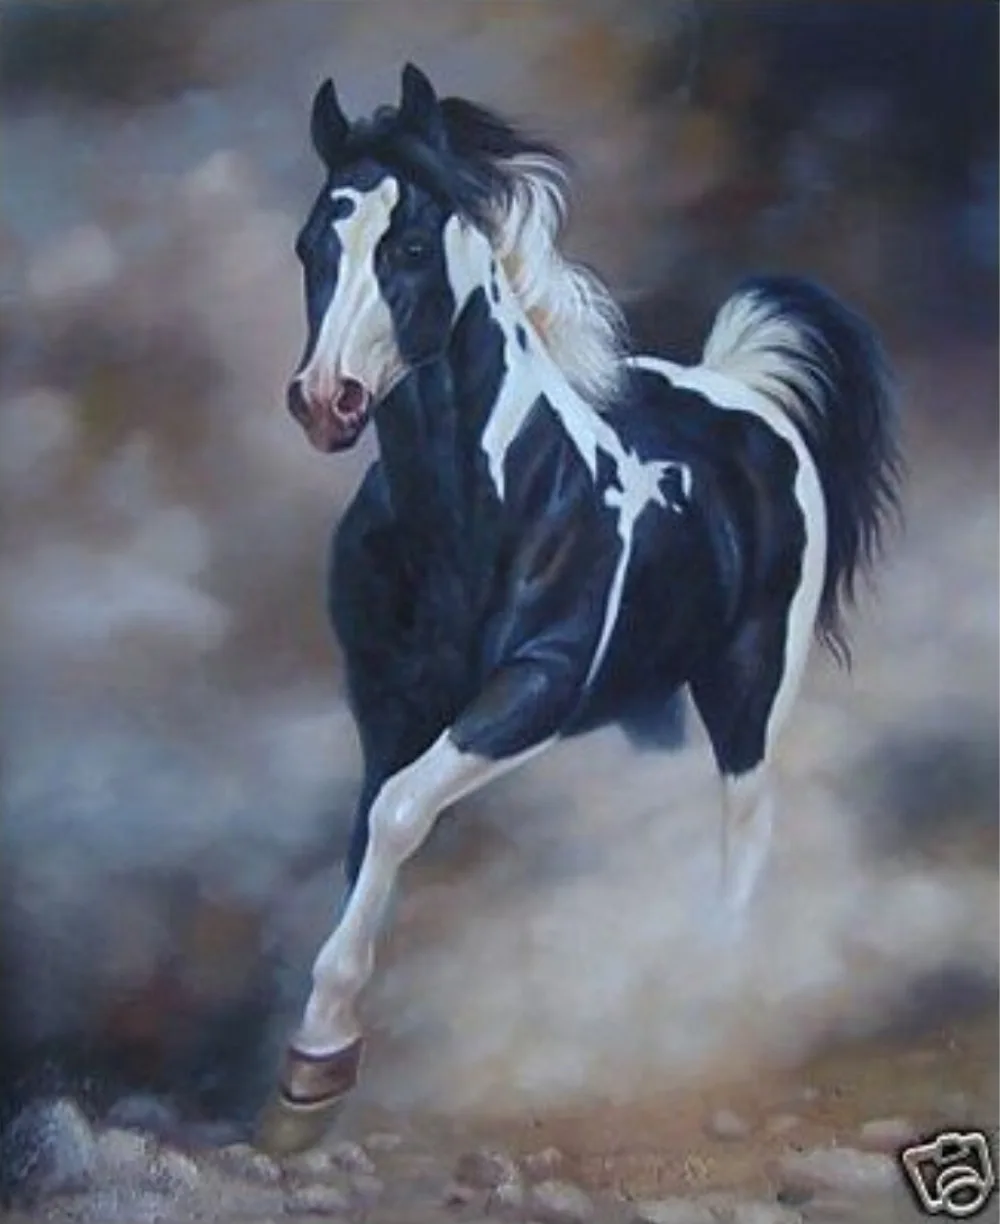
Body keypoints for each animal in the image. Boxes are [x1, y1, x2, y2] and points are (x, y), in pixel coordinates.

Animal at [256, 63, 901, 1153]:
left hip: (749, 687)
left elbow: (398, 813)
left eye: (410, 246)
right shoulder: (386, 705)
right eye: (312, 245)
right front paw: (316, 1067)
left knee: (746, 827)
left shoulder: (537, 690)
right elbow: (367, 833)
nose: (324, 401)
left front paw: (317, 1057)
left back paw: (716, 1001)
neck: (479, 512)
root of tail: (743, 391)